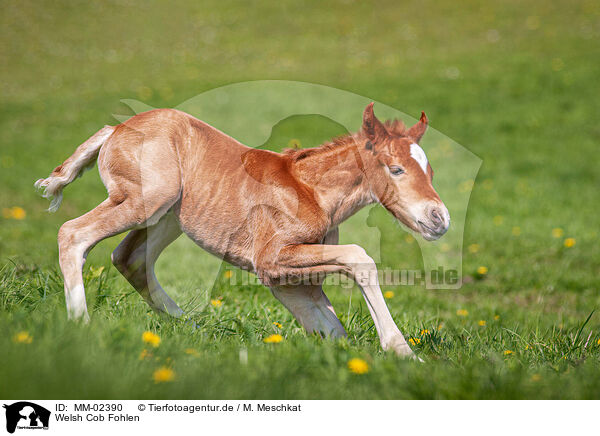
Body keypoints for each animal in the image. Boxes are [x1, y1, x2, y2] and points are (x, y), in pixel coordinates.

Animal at [35, 103, 448, 358]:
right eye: (396, 169)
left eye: (430, 171)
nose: (439, 218)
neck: (311, 191)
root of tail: (115, 128)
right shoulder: (271, 259)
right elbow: (359, 259)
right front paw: (402, 352)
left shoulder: (290, 282)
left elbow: (332, 330)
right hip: (146, 201)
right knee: (73, 234)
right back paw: (81, 325)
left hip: (169, 215)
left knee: (129, 258)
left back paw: (192, 329)